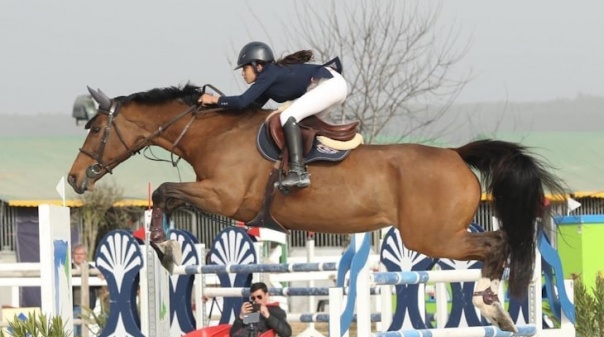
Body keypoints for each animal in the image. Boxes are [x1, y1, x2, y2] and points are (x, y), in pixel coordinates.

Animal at [68, 84, 568, 330]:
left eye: (94, 129)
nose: (74, 179)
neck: (215, 132)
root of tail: (456, 155)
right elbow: (164, 196)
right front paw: (168, 249)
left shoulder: (226, 198)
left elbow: (163, 193)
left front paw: (168, 251)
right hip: (436, 235)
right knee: (501, 243)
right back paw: (499, 311)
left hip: (433, 236)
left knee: (497, 243)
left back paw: (492, 307)